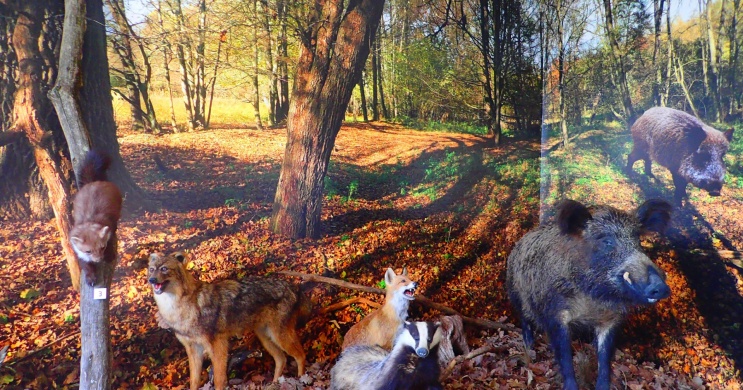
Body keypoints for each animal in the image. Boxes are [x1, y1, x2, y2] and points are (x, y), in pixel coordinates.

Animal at [70, 150, 123, 286]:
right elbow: (85, 265)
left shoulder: (109, 226)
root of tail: (93, 182)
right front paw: (90, 278)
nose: (98, 259)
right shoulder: (78, 252)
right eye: (87, 251)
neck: (89, 219)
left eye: (102, 247)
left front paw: (109, 256)